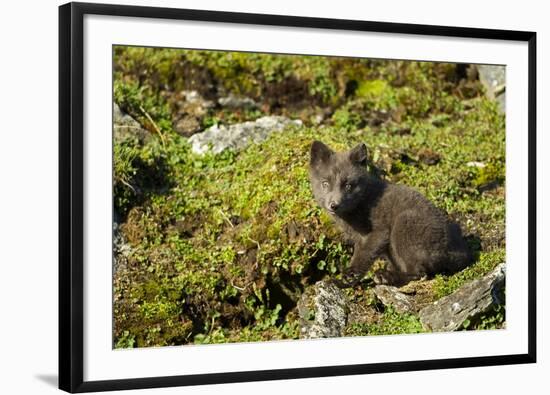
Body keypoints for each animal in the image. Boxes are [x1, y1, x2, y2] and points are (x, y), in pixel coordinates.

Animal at [310, 142, 474, 288]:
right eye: (325, 184)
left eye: (348, 186)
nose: (334, 205)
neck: (362, 201)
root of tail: (454, 252)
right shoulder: (360, 238)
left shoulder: (378, 233)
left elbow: (362, 257)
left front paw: (344, 280)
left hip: (403, 225)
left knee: (419, 273)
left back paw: (386, 276)